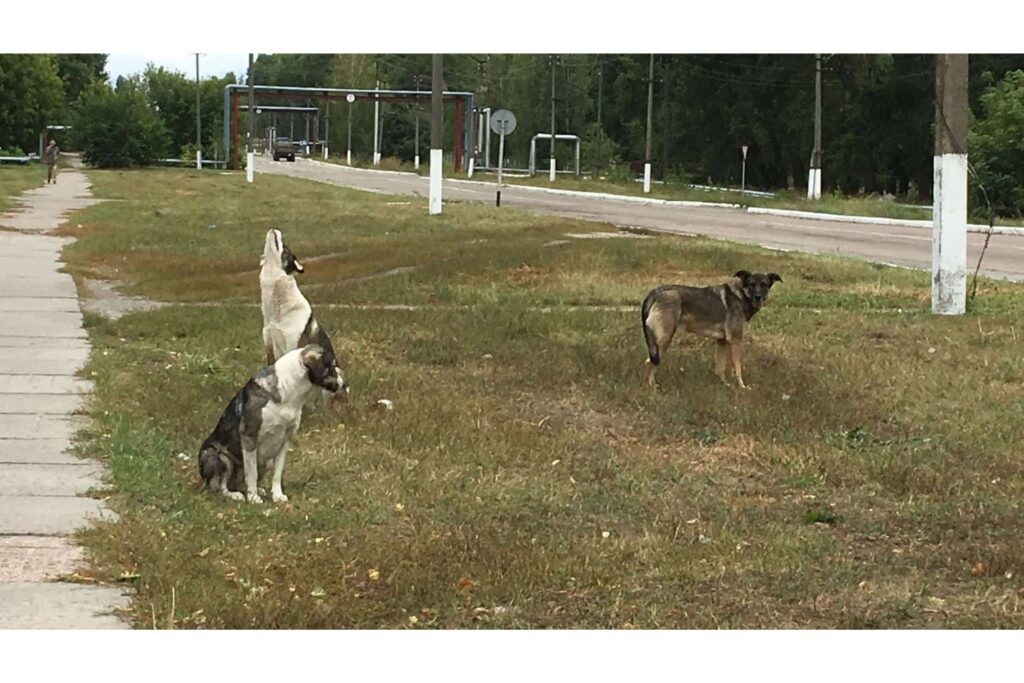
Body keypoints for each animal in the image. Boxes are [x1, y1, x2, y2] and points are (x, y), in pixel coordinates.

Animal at [197, 348, 346, 501]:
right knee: (220, 486)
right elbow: (252, 474)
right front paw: (253, 498)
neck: (290, 392)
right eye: (332, 366)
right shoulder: (249, 438)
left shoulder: (285, 440)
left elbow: (277, 473)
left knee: (240, 483)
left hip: (265, 462)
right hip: (219, 457)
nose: (343, 383)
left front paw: (277, 495)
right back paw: (235, 495)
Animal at [638, 270, 782, 389]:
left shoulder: (722, 341)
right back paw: (651, 387)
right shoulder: (735, 340)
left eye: (764, 285)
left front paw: (724, 384)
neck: (741, 295)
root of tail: (656, 292)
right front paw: (741, 387)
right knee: (649, 363)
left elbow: (720, 368)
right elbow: (737, 368)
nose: (758, 297)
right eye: (752, 284)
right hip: (664, 339)